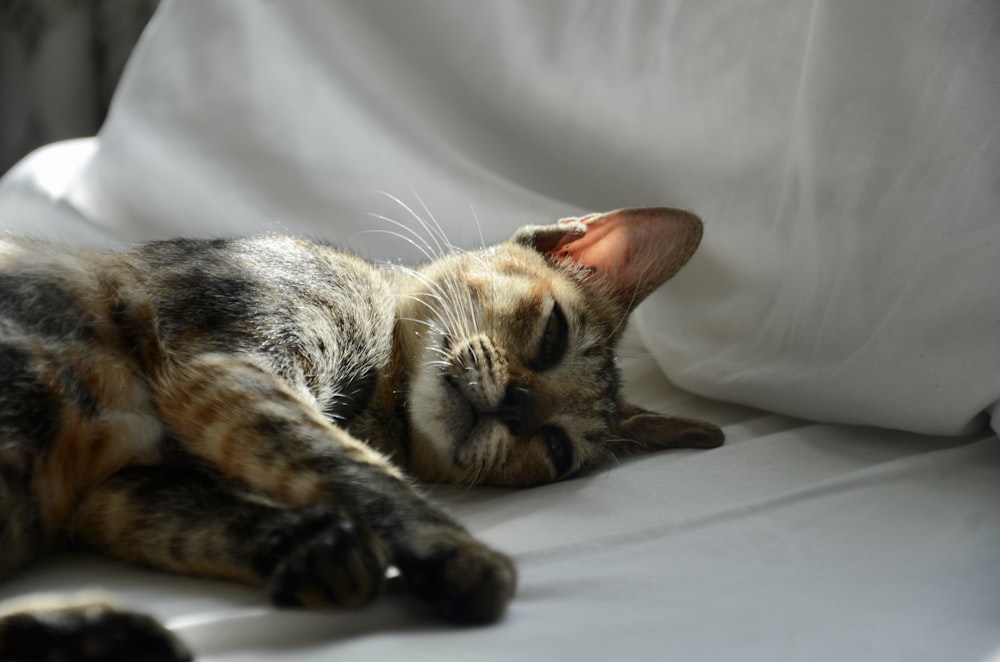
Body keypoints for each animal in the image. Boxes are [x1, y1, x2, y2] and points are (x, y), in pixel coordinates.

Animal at [0, 209, 720, 662]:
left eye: (557, 448)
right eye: (552, 335)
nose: (519, 408)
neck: (372, 400)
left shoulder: (117, 491)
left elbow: (203, 517)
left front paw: (319, 551)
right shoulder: (228, 368)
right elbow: (356, 467)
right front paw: (462, 554)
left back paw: (95, 631)